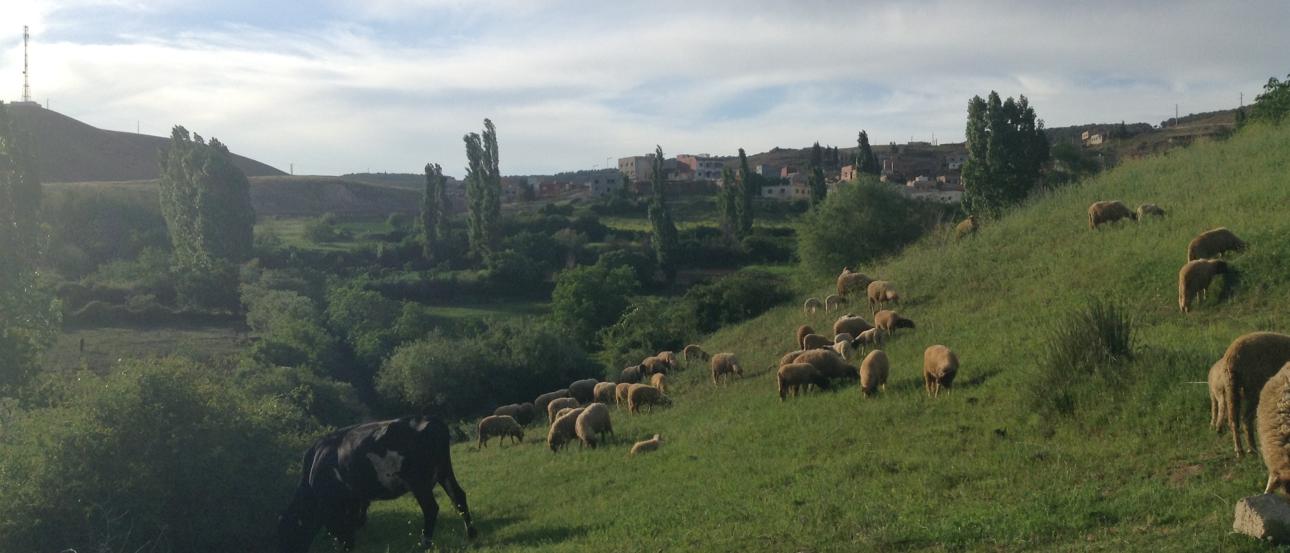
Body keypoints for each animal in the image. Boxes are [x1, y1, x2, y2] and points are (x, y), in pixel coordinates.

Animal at [276, 416, 479, 552]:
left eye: (287, 533)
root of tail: (431, 420)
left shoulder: (333, 506)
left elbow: (340, 529)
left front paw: (347, 546)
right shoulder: (355, 499)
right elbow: (354, 523)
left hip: (418, 480)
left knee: (431, 508)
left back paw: (424, 544)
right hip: (444, 470)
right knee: (458, 496)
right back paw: (471, 535)